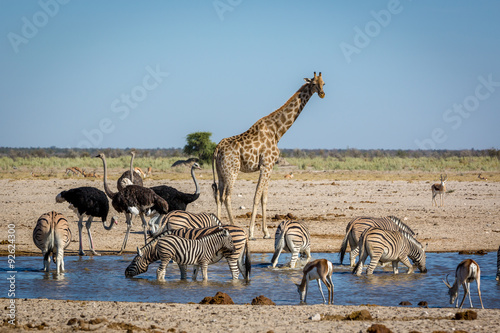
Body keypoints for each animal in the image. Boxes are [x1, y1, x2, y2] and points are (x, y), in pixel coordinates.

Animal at [210, 72, 324, 239]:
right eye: (314, 83)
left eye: (323, 83)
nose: (322, 93)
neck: (277, 131)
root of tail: (217, 149)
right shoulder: (266, 165)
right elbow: (257, 196)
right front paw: (251, 232)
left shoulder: (269, 167)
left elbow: (265, 198)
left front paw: (266, 233)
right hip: (232, 171)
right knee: (227, 197)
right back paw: (236, 227)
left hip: (220, 172)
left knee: (218, 196)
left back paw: (218, 226)